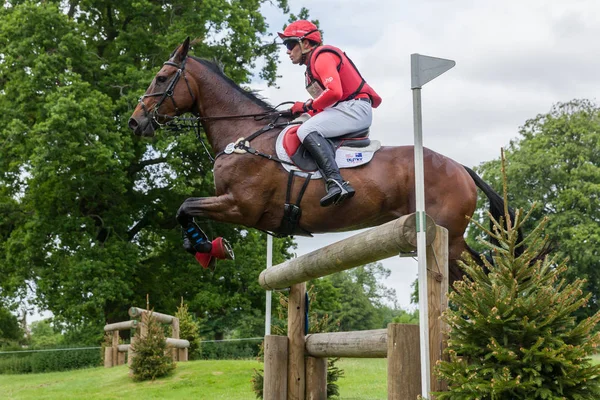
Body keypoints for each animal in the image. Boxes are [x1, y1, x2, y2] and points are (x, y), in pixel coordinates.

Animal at [127, 36, 516, 282]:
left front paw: (207, 247)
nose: (135, 122)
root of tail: (461, 168)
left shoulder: (240, 205)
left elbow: (185, 207)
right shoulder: (234, 204)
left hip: (446, 236)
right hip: (447, 237)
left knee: (477, 275)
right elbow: (185, 209)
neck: (243, 135)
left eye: (161, 78)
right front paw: (203, 247)